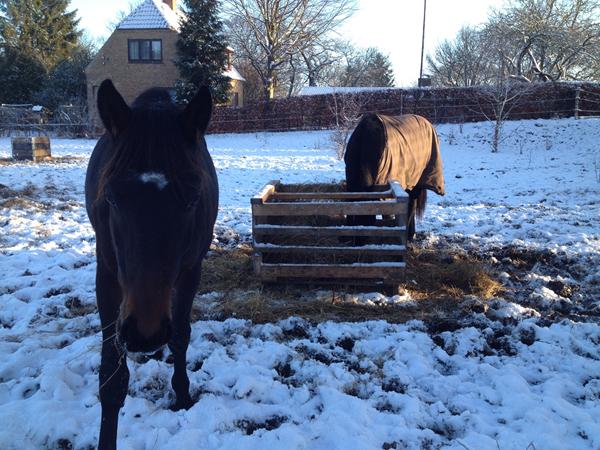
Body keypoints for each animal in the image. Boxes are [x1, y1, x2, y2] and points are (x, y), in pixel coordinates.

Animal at [83, 79, 217, 448]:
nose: (144, 332)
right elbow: (111, 375)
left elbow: (181, 336)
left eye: (192, 198)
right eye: (112, 198)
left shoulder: (191, 270)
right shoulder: (108, 275)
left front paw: (182, 396)